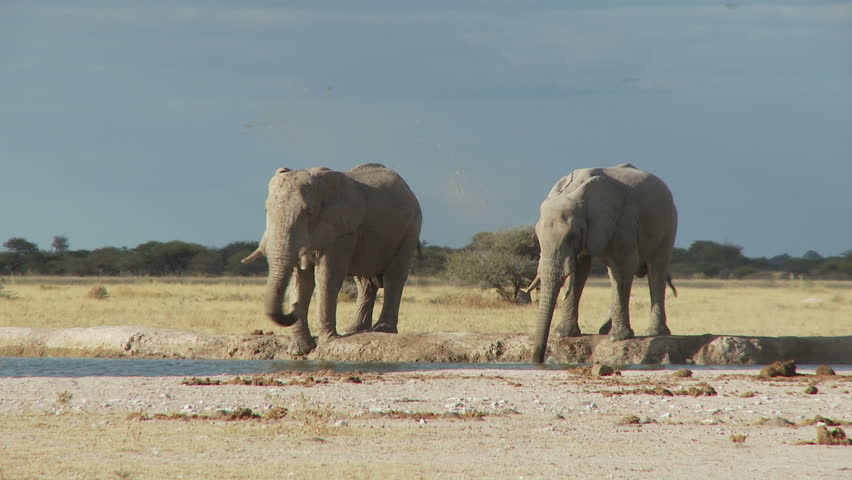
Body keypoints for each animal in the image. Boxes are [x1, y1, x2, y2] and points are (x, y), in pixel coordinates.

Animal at [242, 163, 422, 355]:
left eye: (308, 213)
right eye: (266, 210)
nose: (292, 310)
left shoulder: (342, 231)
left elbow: (327, 277)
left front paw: (328, 342)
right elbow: (301, 281)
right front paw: (298, 350)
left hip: (411, 229)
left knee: (394, 278)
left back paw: (382, 330)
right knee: (364, 282)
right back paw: (354, 330)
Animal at [531, 163, 677, 363]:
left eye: (571, 236)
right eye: (537, 236)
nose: (537, 360)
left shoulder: (622, 220)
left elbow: (624, 266)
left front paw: (618, 338)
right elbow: (580, 268)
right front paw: (564, 334)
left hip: (667, 225)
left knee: (656, 270)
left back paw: (655, 332)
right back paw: (604, 330)